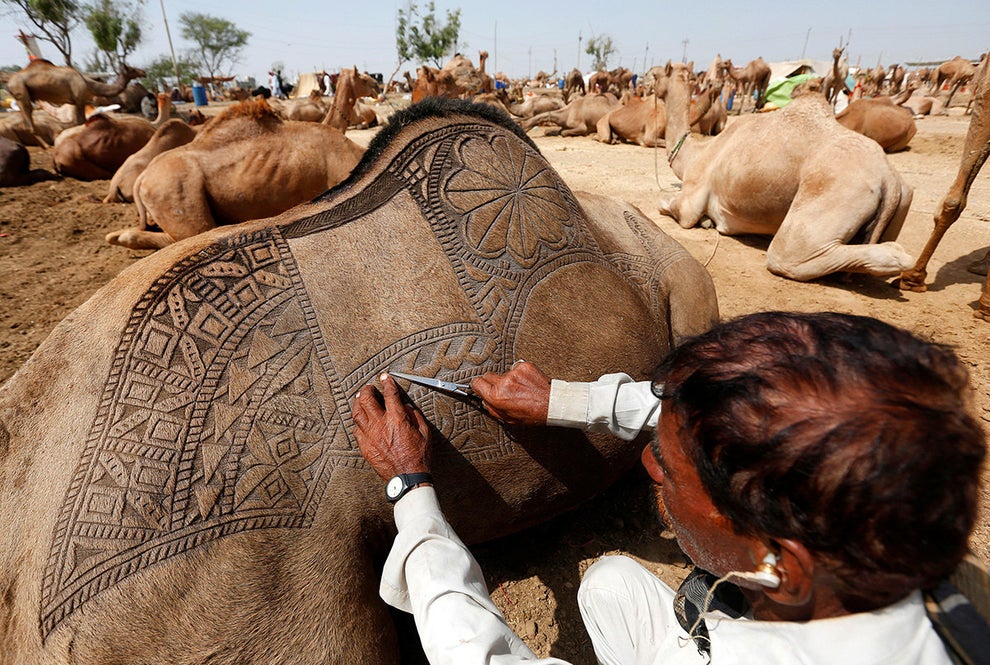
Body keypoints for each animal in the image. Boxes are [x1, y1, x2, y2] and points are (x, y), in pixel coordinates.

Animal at [4, 58, 145, 148]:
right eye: (132, 69)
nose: (143, 72)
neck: (89, 84)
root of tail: (9, 82)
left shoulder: (77, 102)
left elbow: (78, 121)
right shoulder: (79, 99)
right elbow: (80, 121)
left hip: (21, 95)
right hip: (20, 91)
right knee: (29, 121)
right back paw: (46, 146)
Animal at [656, 61, 920, 282]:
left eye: (656, 74)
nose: (650, 82)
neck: (696, 153)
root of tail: (889, 179)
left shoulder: (691, 199)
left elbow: (668, 206)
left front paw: (703, 220)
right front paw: (708, 221)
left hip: (834, 192)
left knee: (788, 255)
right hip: (905, 197)